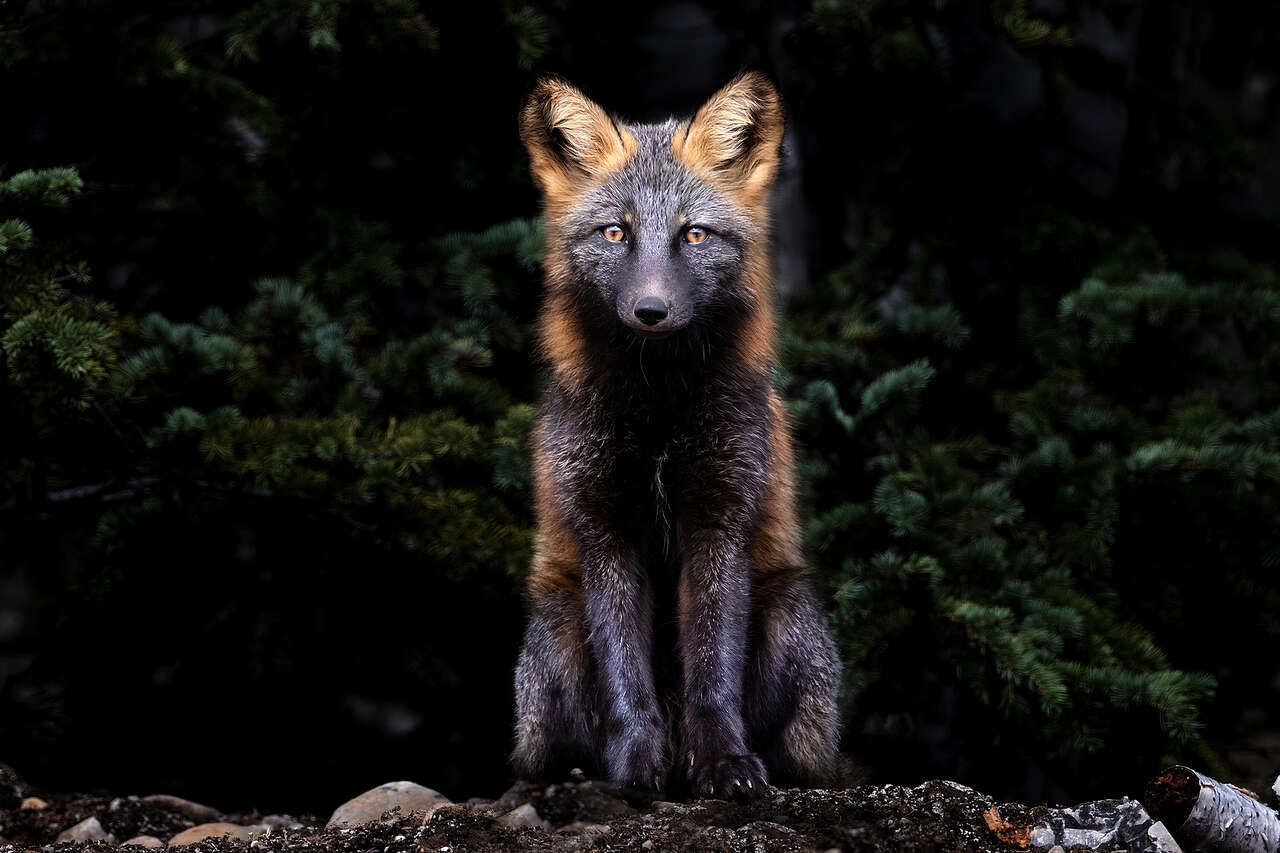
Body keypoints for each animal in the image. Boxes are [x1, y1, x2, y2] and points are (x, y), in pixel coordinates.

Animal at [512, 71, 841, 800]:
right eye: (615, 232)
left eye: (693, 235)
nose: (651, 310)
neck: (658, 421)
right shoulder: (604, 527)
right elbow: (625, 677)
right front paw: (638, 768)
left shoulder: (719, 518)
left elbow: (712, 675)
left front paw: (722, 764)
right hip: (554, 628)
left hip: (790, 612)